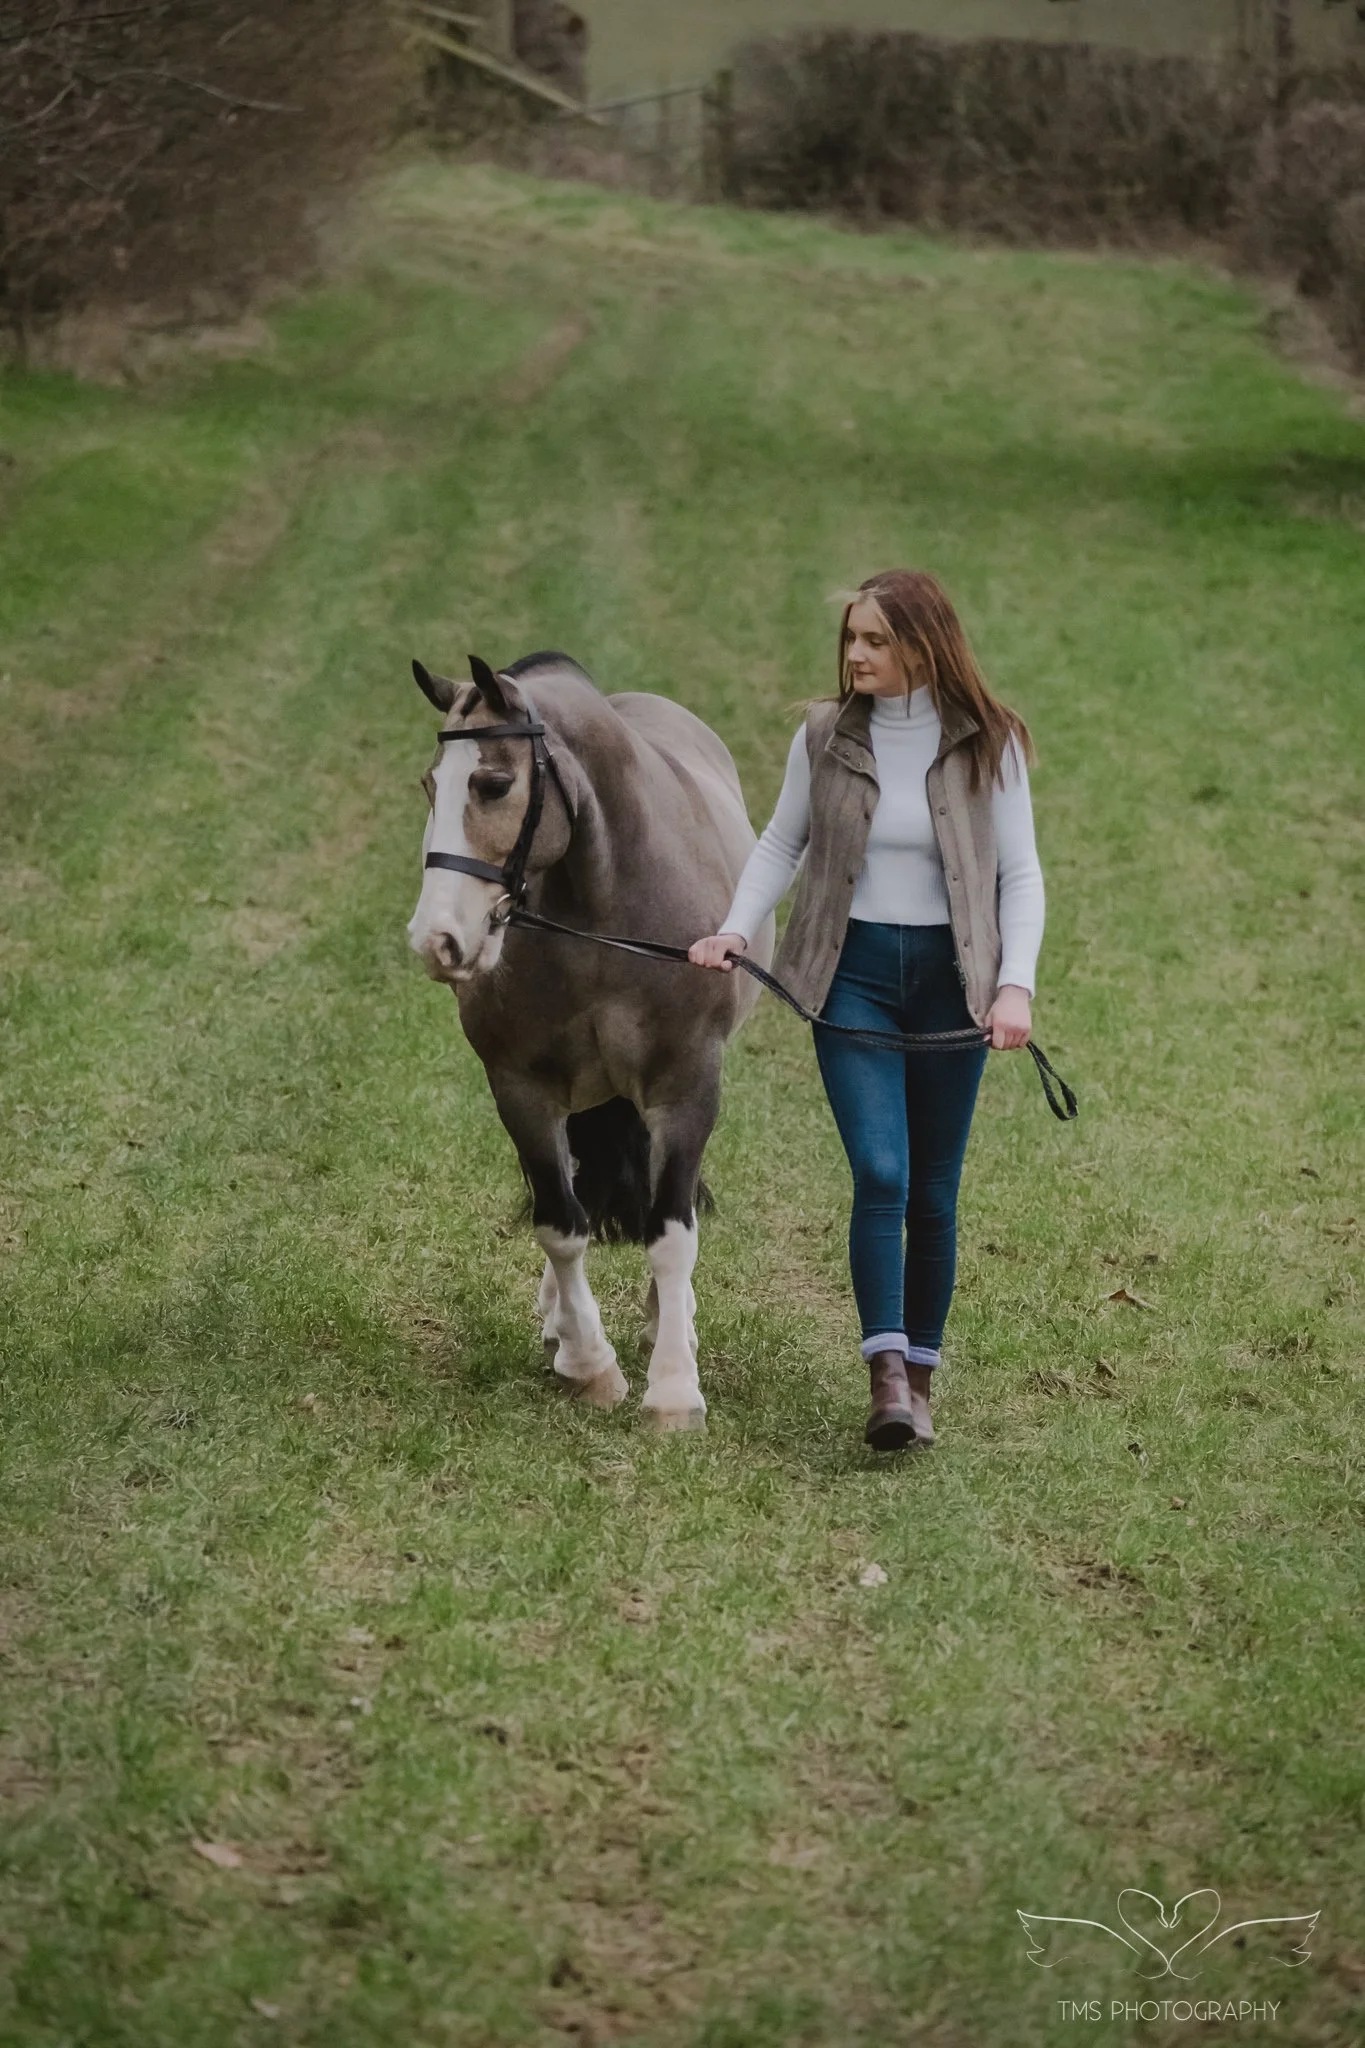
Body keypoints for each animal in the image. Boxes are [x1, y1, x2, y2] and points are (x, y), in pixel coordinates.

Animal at [406, 650, 774, 1430]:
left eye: (493, 784)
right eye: (429, 784)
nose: (437, 940)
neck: (607, 908)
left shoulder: (685, 1088)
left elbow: (671, 1231)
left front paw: (673, 1390)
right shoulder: (522, 1090)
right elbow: (559, 1222)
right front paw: (588, 1364)